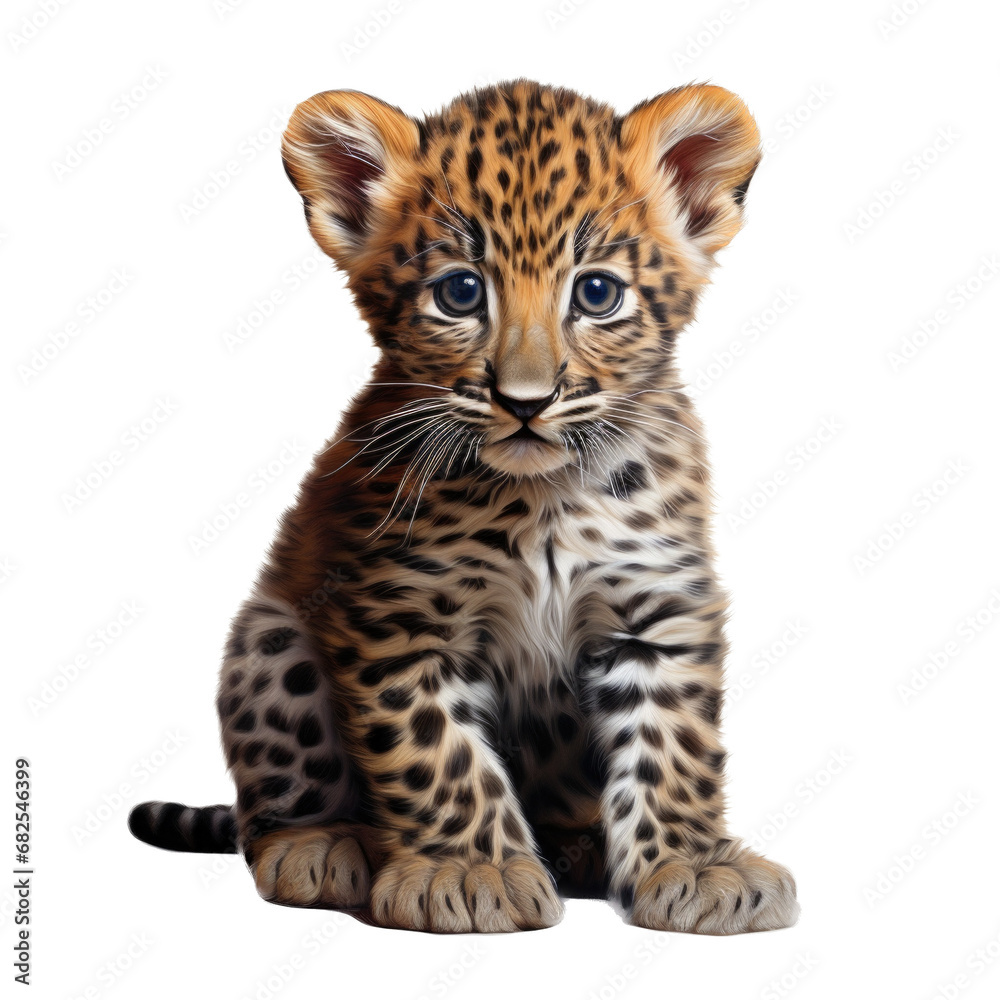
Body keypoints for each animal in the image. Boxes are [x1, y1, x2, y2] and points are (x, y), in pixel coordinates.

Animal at [129, 79, 799, 935]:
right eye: (459, 293)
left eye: (597, 294)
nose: (526, 401)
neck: (543, 497)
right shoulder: (400, 616)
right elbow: (437, 751)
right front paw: (473, 872)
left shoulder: (653, 609)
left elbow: (671, 745)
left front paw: (694, 864)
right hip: (269, 642)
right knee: (271, 805)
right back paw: (323, 845)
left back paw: (580, 848)